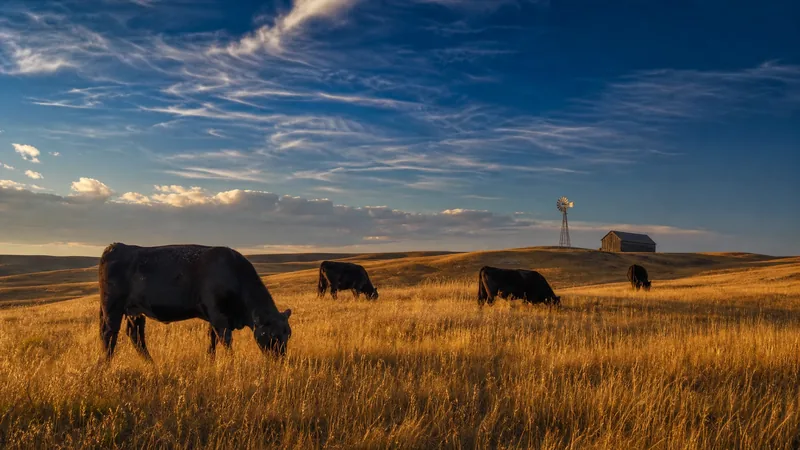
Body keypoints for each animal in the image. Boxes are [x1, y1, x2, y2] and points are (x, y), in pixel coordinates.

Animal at [98, 243, 292, 362]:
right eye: (272, 335)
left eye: (288, 335)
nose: (280, 360)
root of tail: (114, 247)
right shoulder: (219, 318)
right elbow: (226, 341)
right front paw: (231, 362)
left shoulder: (213, 319)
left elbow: (212, 341)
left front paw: (210, 361)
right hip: (113, 309)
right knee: (109, 335)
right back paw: (105, 365)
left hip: (135, 312)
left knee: (135, 336)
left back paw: (151, 364)